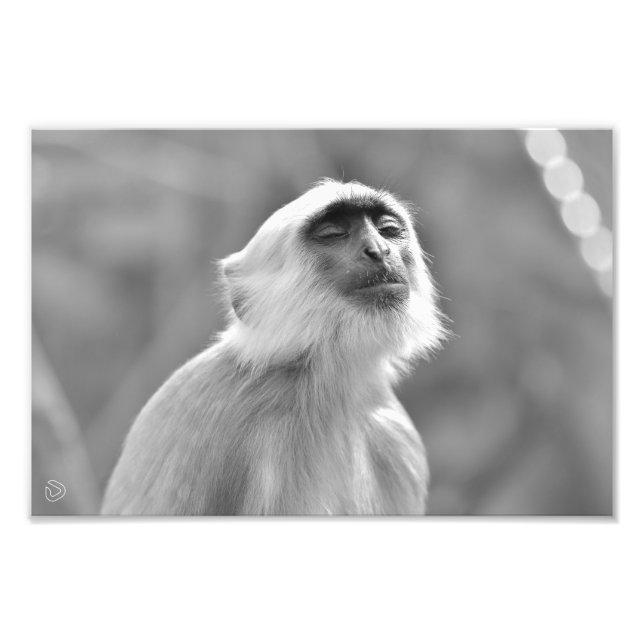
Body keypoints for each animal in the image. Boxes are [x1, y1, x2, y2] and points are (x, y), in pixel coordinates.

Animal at [101, 179, 447, 515]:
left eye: (387, 229)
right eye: (333, 234)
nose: (379, 250)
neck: (325, 390)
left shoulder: (396, 434)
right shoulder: (206, 404)